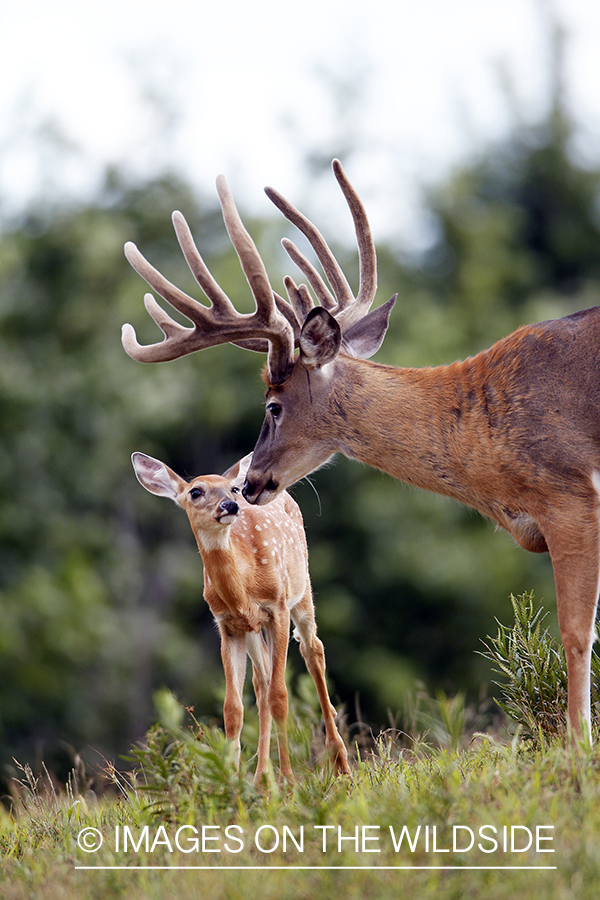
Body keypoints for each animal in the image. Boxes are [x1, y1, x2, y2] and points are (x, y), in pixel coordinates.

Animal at [131, 450, 350, 784]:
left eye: (232, 489)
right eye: (195, 492)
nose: (231, 505)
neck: (244, 586)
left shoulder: (277, 607)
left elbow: (280, 696)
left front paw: (288, 780)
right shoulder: (228, 625)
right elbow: (233, 708)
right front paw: (231, 780)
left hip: (302, 588)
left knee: (312, 650)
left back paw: (339, 762)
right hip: (253, 629)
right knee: (261, 681)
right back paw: (261, 777)